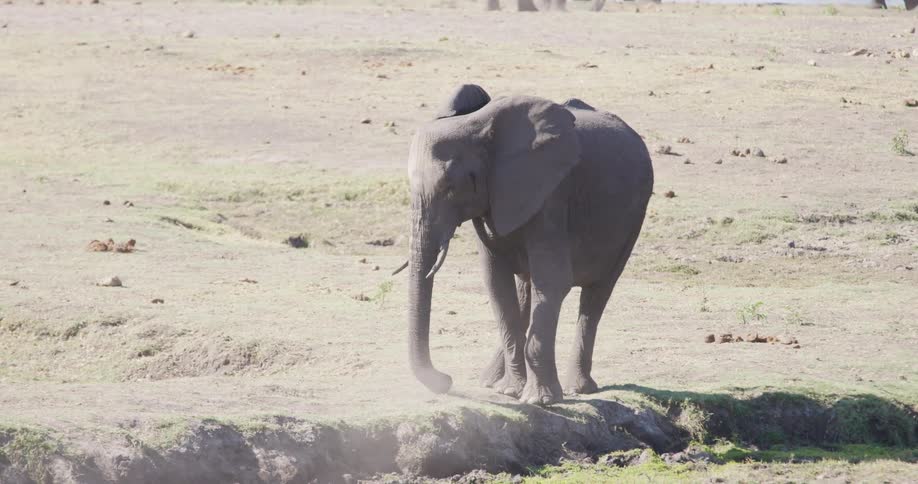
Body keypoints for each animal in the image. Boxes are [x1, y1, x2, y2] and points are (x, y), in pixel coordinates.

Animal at [400, 84, 653, 405]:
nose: (446, 380)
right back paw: (491, 381)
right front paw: (510, 391)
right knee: (525, 288)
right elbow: (496, 283)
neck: (477, 126)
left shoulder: (551, 194)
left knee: (596, 296)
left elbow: (553, 281)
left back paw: (578, 388)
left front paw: (539, 400)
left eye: (451, 187)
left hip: (632, 221)